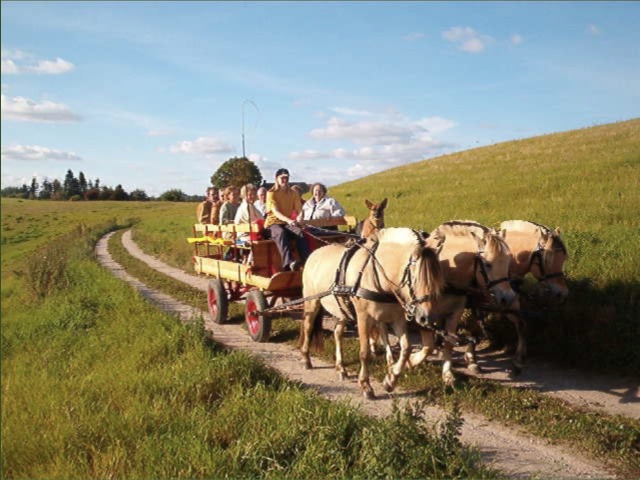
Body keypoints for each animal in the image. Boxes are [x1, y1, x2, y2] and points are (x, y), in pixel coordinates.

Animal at [298, 227, 442, 400]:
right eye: (416, 278)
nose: (427, 318)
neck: (378, 276)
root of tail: (315, 253)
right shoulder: (363, 317)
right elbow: (365, 352)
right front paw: (366, 385)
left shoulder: (397, 318)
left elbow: (406, 348)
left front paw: (390, 379)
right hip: (312, 302)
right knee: (308, 327)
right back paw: (305, 359)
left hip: (342, 309)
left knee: (337, 333)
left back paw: (341, 368)